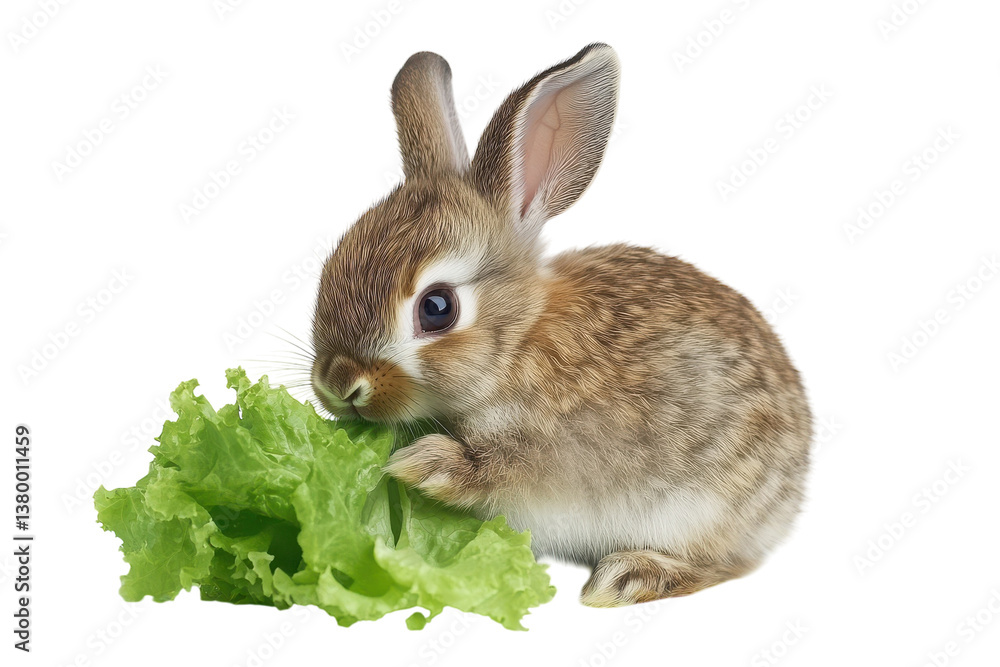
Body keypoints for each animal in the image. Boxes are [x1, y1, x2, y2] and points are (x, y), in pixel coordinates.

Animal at [310, 43, 812, 607]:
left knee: (725, 563)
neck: (517, 344)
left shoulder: (543, 451)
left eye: (437, 308)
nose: (336, 383)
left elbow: (492, 470)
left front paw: (418, 464)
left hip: (704, 507)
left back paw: (627, 578)